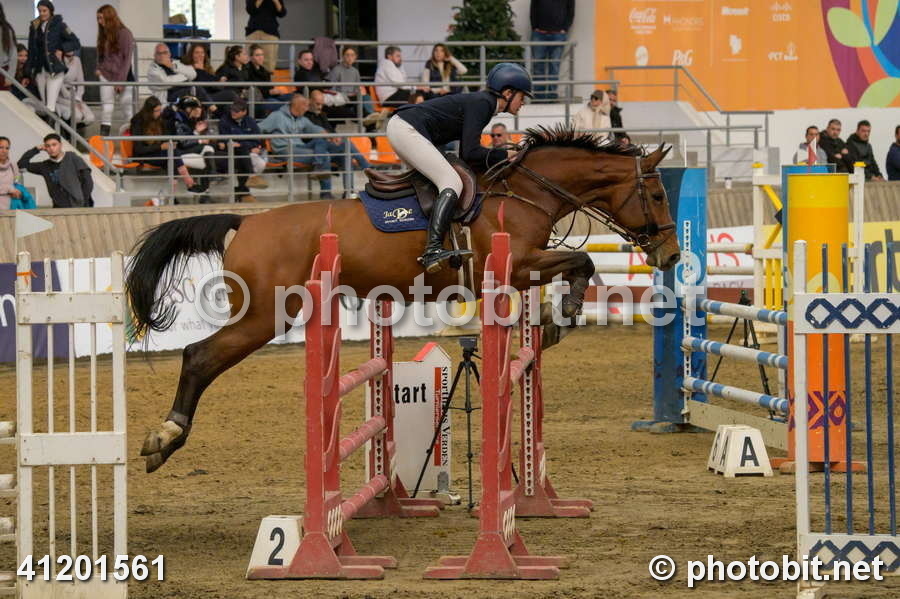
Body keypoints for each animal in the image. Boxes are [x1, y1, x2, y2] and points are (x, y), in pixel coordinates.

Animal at [126, 126, 681, 473]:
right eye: (656, 196)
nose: (671, 254)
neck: (525, 192)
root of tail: (245, 222)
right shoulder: (518, 264)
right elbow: (581, 261)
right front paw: (560, 315)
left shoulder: (522, 270)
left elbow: (577, 265)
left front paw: (552, 318)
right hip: (265, 315)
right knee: (199, 356)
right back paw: (165, 438)